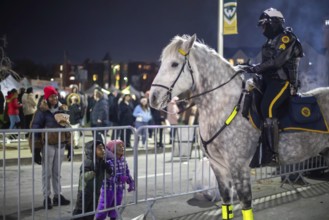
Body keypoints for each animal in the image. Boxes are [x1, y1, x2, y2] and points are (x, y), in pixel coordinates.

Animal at [149, 33, 328, 219]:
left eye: (174, 64)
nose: (152, 97)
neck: (223, 107)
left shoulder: (239, 167)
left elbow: (246, 205)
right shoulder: (219, 168)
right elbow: (226, 203)